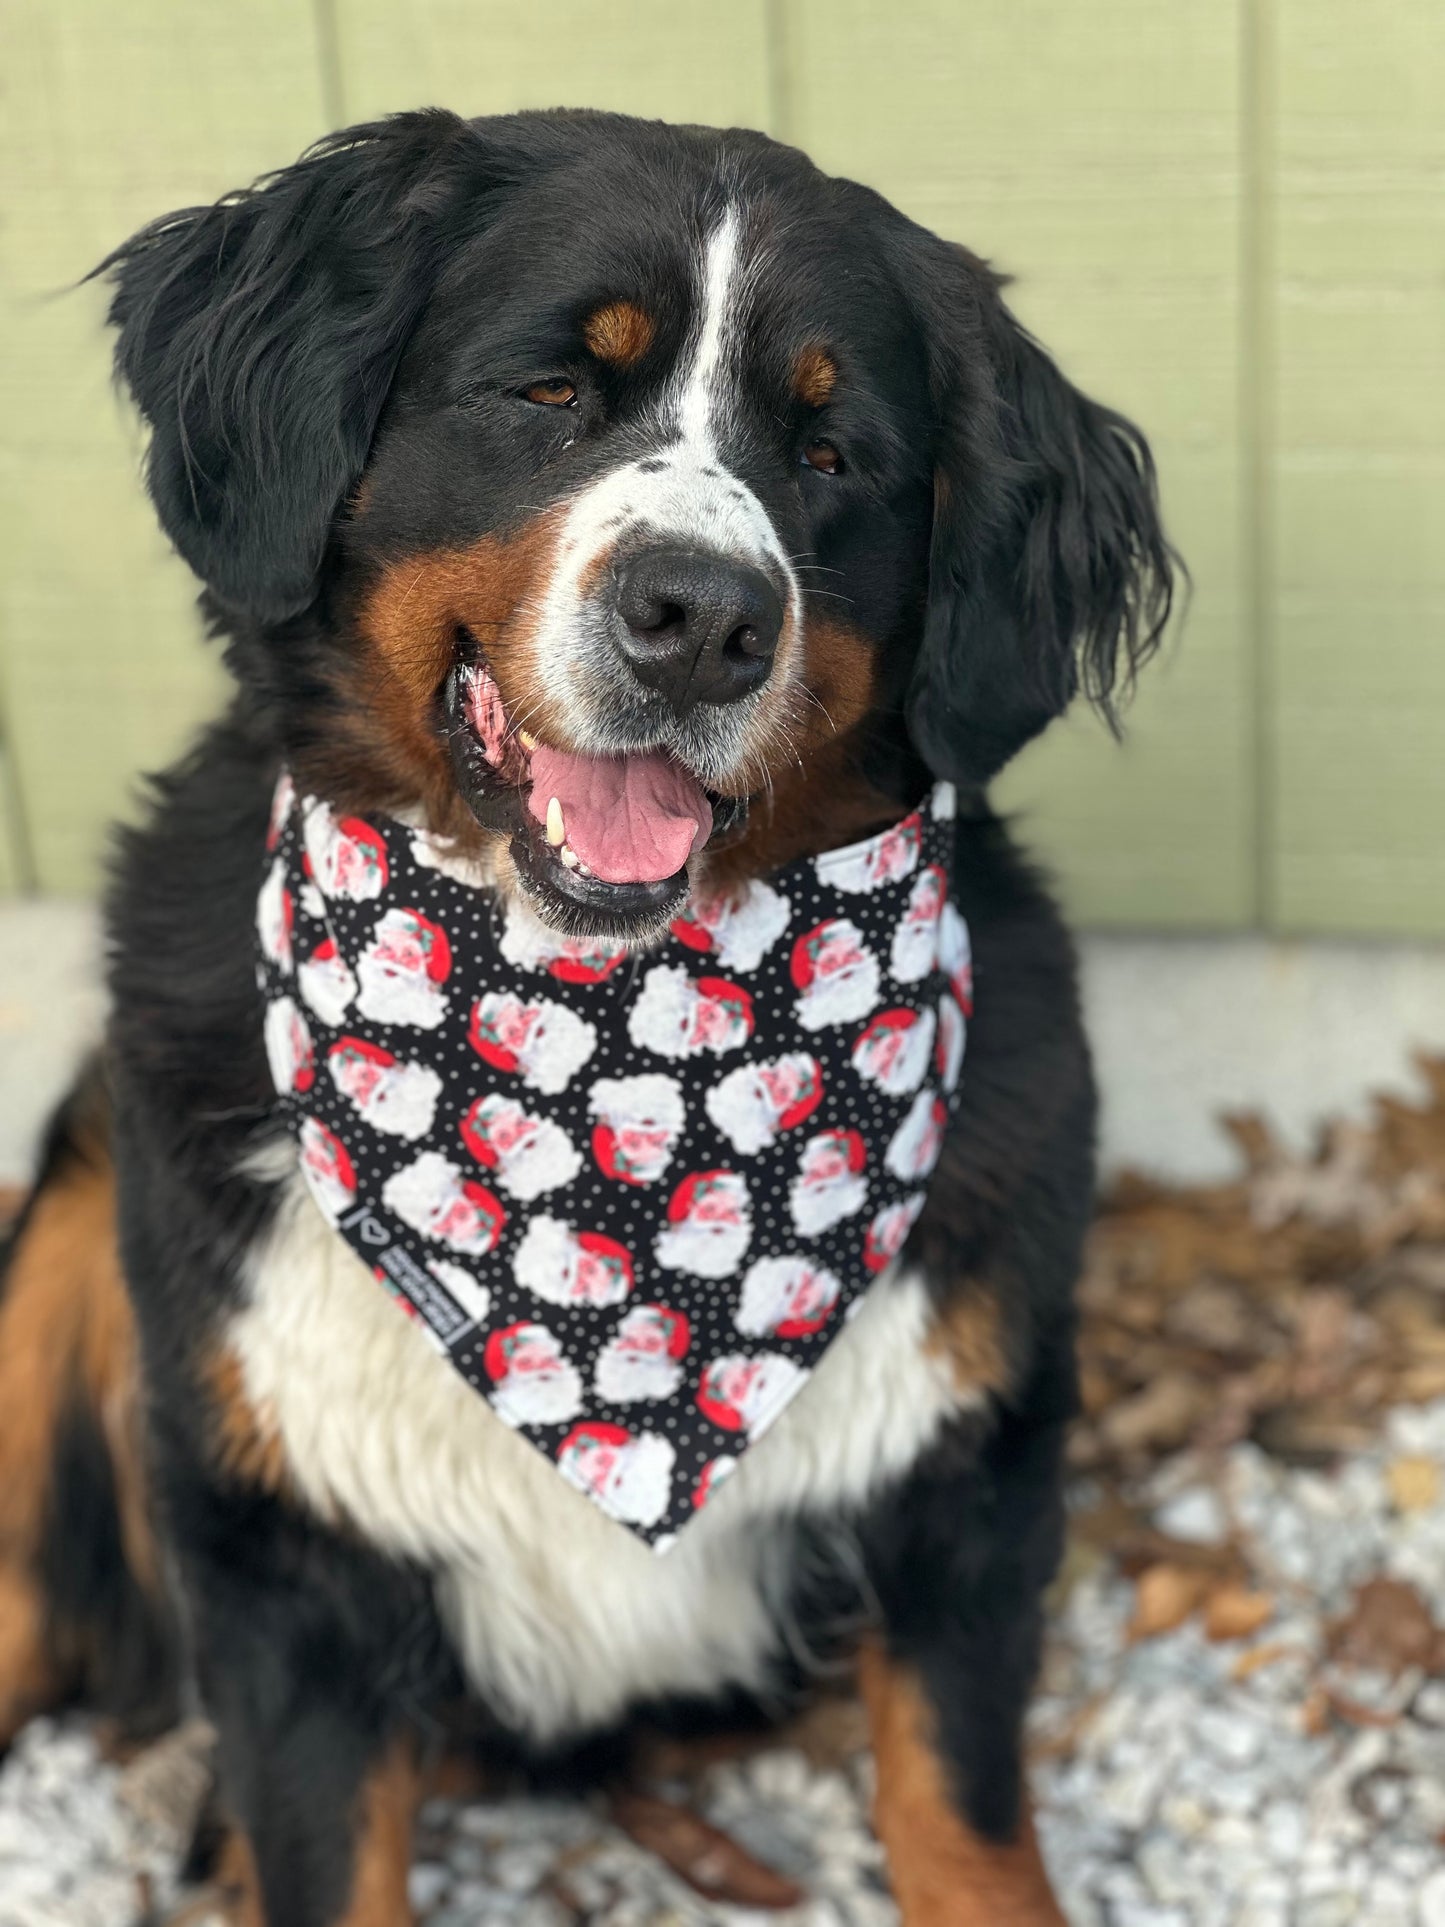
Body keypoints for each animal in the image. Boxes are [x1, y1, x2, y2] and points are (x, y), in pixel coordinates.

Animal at [0, 109, 1179, 1927]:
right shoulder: (283, 1556)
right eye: (551, 389)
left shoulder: (967, 1485)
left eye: (833, 452)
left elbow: (965, 1817)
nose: (702, 618)